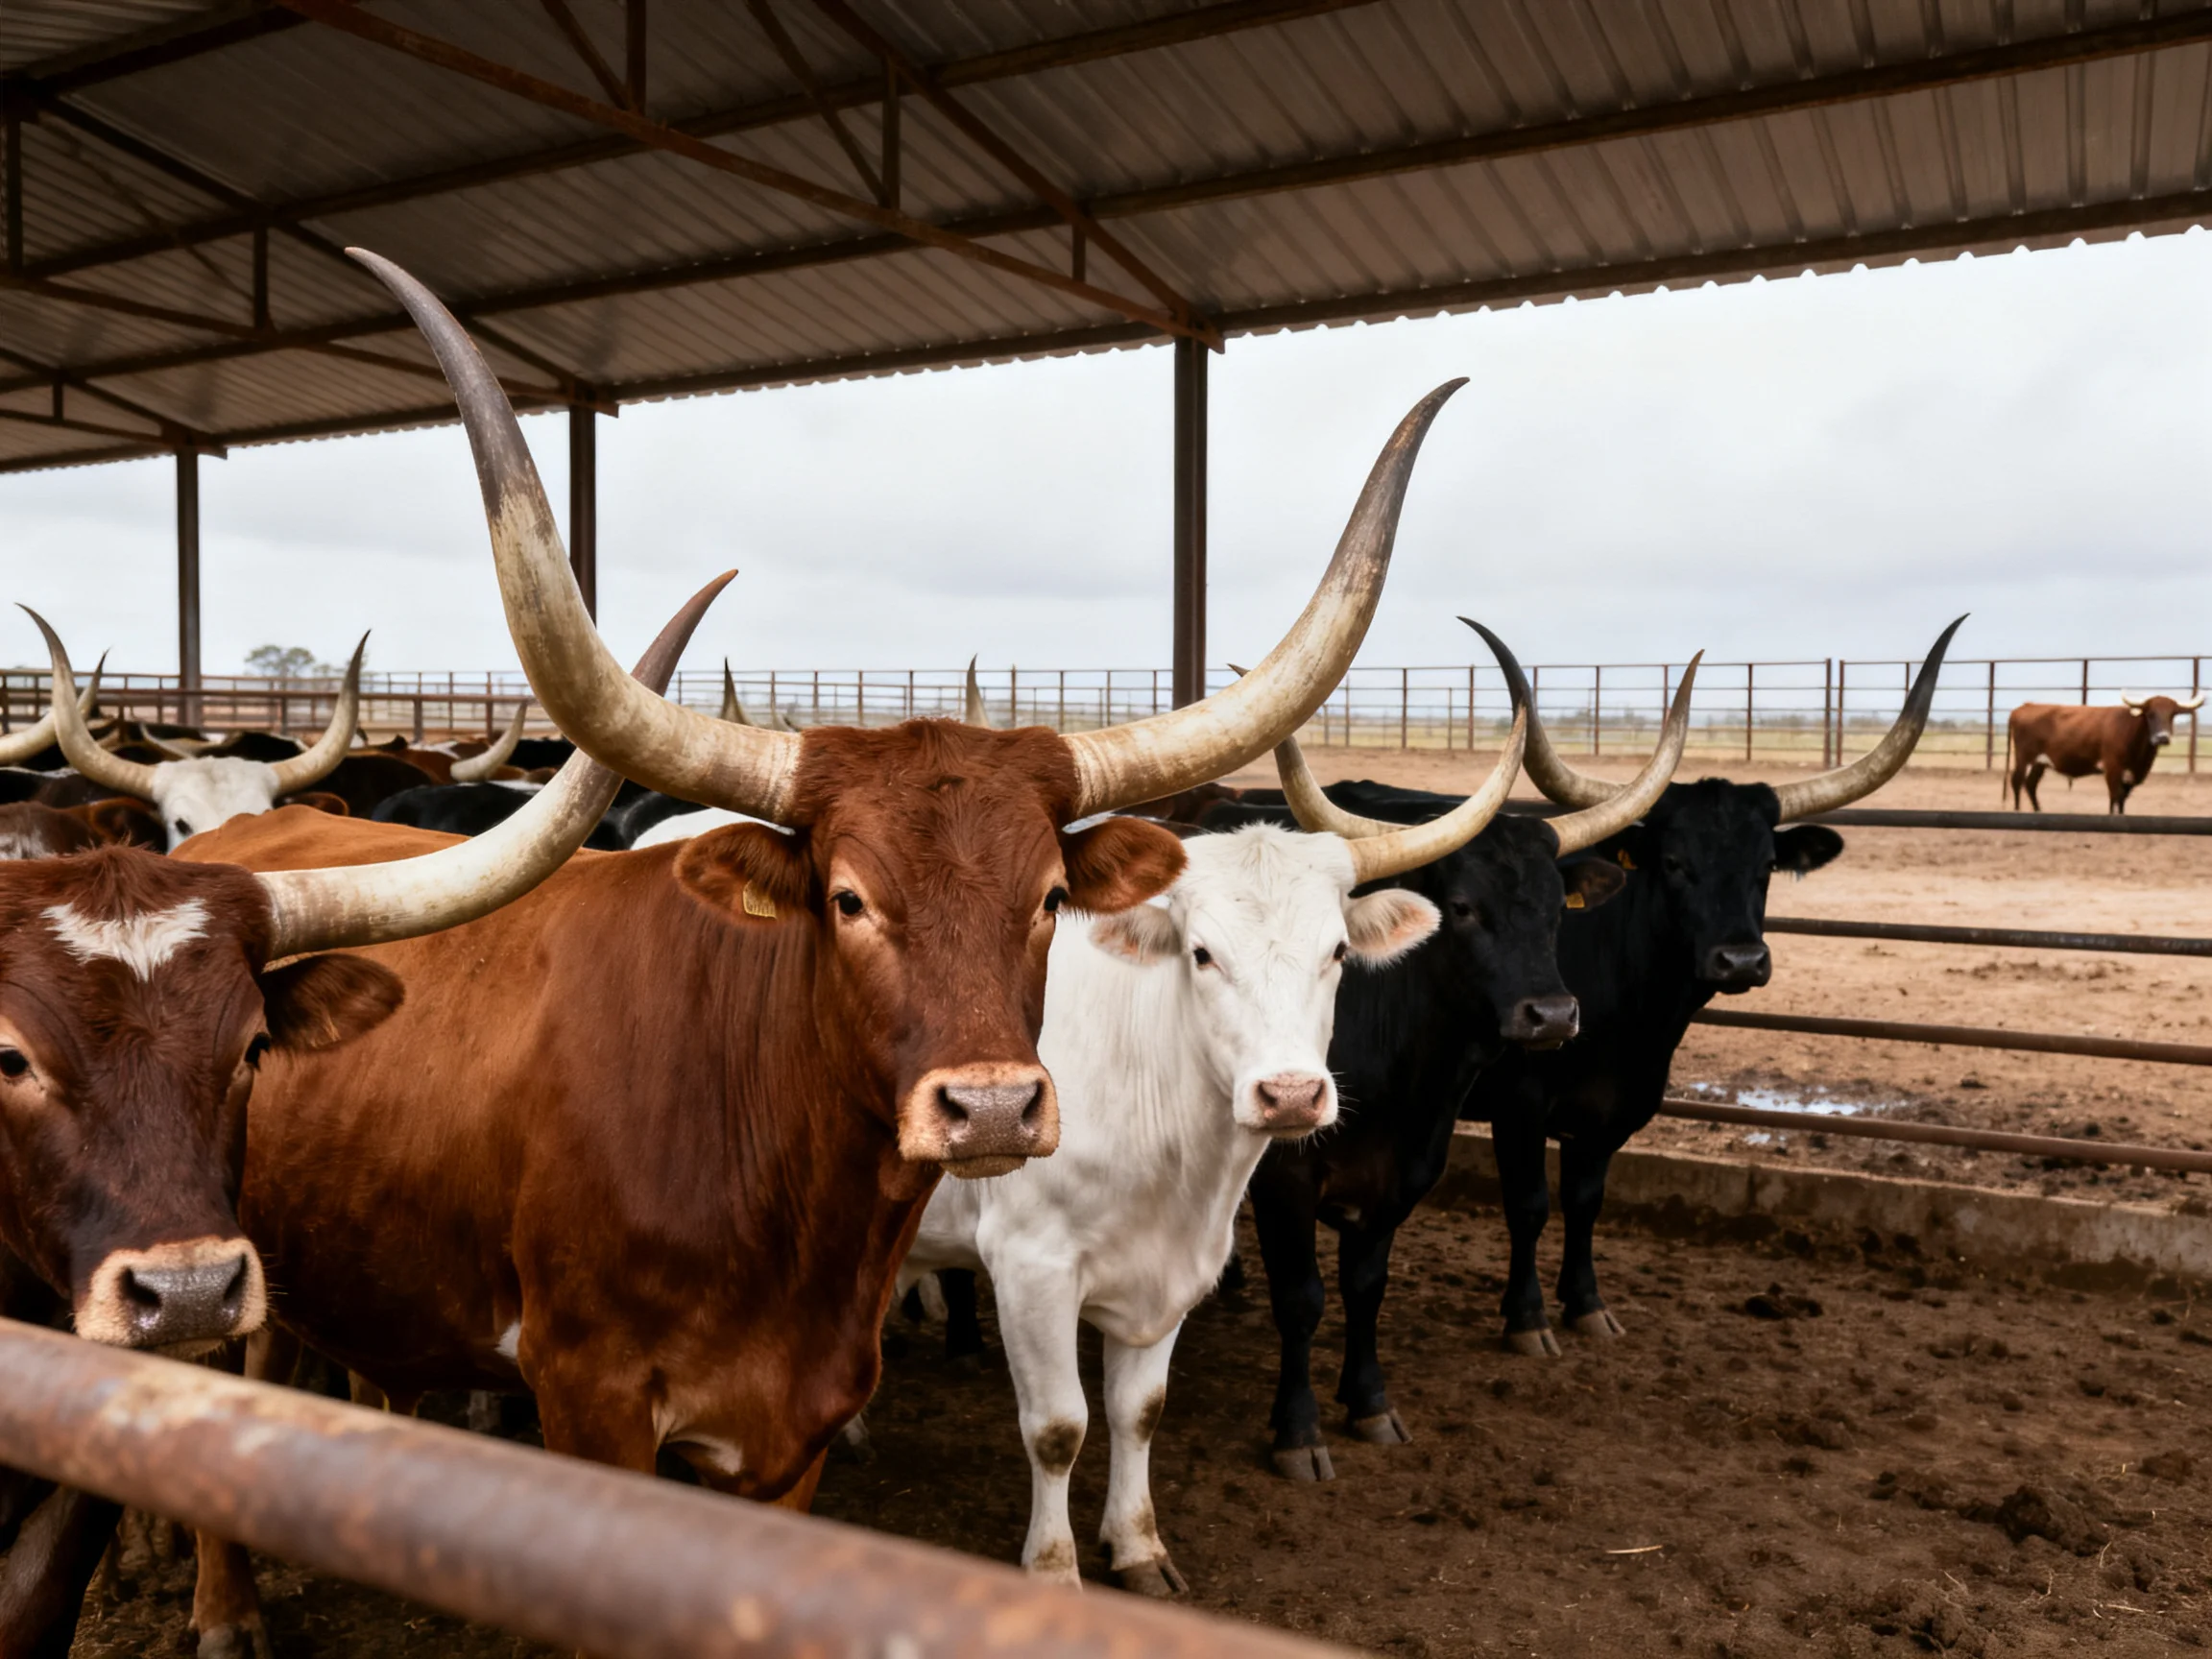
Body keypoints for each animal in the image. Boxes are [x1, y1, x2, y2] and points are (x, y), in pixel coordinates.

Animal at [168, 247, 1452, 1653]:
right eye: (845, 898)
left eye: (1052, 894)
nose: (992, 1109)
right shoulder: (617, 1396)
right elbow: (1059, 1426)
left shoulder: (816, 1422)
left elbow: (1134, 1411)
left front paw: (1138, 1552)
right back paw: (222, 1601)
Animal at [895, 684, 1530, 1595]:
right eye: (1200, 954)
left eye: (1339, 951)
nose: (1292, 1093)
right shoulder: (1030, 1268)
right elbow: (1057, 1427)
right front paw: (1053, 1571)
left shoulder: (1175, 1269)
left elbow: (1138, 1412)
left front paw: (1138, 1548)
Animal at [1217, 636, 1698, 1480]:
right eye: (1465, 909)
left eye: (1556, 909)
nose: (1553, 1015)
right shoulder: (1286, 1177)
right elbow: (1303, 1299)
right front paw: (1298, 1432)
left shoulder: (1408, 1165)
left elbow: (1366, 1285)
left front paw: (1369, 1403)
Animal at [1452, 618, 1960, 1359]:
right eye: (1673, 862)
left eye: (1769, 864)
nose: (1741, 960)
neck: (1629, 1009)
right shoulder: (1518, 1103)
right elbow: (1529, 1205)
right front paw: (1527, 1319)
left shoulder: (1615, 1108)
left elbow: (1585, 1200)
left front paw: (1587, 1305)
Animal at [2006, 691, 2201, 813]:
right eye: (2150, 714)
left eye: (2172, 715)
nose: (2162, 738)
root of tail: (2024, 707)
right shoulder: (2112, 768)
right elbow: (2115, 795)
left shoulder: (2130, 775)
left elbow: (2122, 798)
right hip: (2023, 758)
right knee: (2017, 780)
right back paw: (2017, 810)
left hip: (2040, 762)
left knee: (2030, 784)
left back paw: (2038, 811)